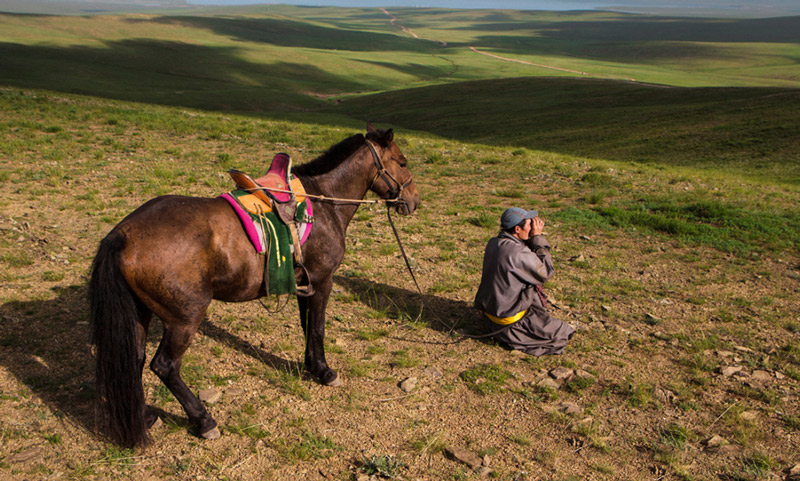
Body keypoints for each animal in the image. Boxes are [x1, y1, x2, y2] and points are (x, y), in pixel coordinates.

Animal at [89, 124, 418, 446]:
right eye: (402, 162)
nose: (414, 201)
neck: (324, 200)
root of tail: (122, 235)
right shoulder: (323, 279)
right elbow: (318, 328)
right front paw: (325, 372)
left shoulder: (305, 283)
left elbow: (307, 326)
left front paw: (310, 365)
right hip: (184, 319)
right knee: (165, 366)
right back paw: (204, 420)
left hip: (140, 313)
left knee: (134, 361)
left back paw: (145, 417)